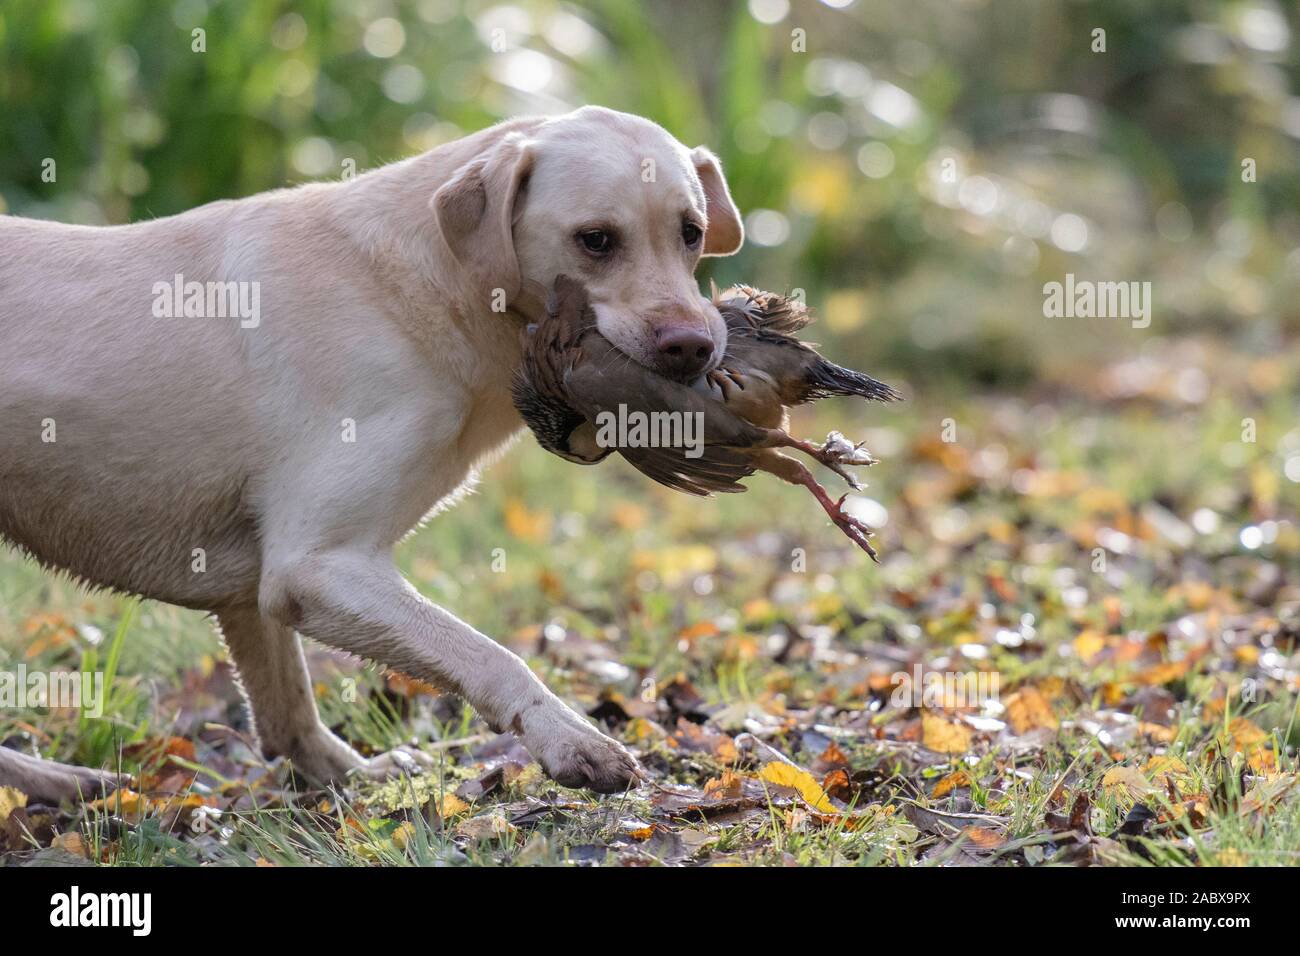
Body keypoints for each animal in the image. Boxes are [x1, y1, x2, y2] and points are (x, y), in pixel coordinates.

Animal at [0, 102, 743, 801]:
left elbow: (288, 714)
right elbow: (488, 653)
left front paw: (352, 778)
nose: (694, 347)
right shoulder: (318, 566)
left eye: (691, 232)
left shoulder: (255, 590)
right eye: (596, 241)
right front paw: (570, 739)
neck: (418, 286)